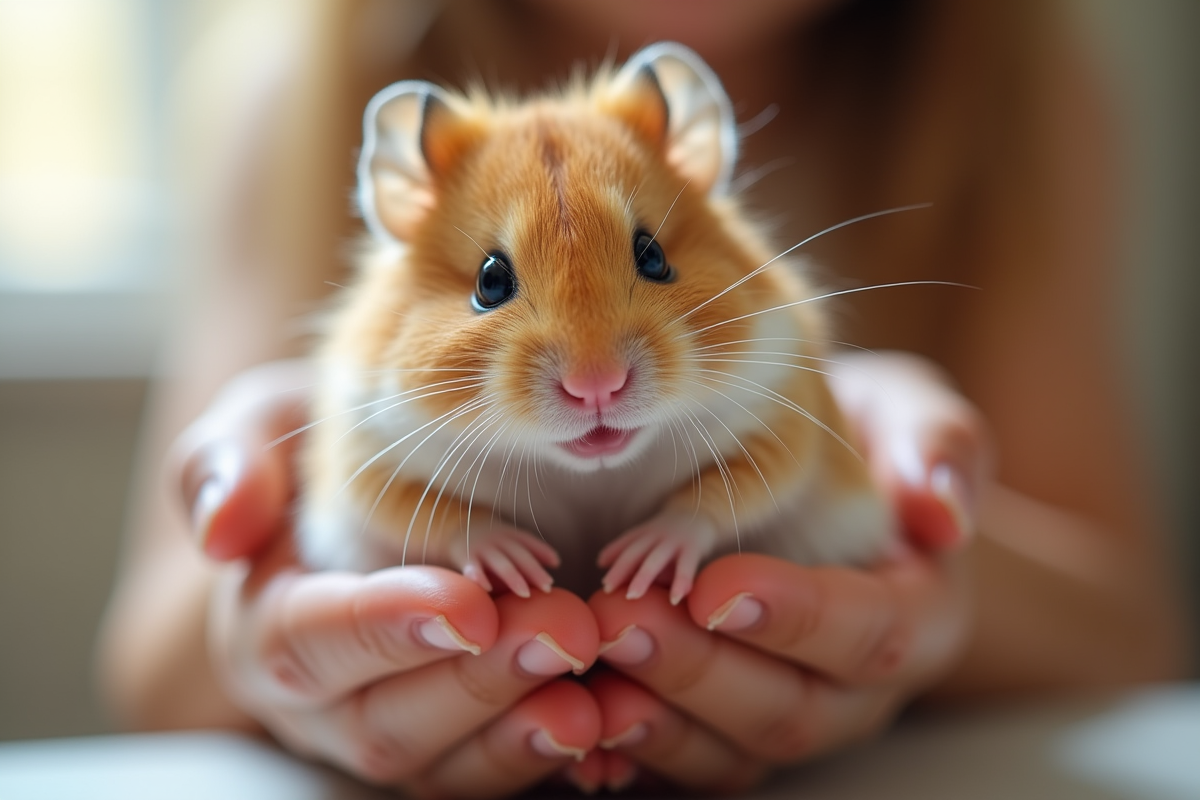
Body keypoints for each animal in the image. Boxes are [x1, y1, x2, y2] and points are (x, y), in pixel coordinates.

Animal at [297, 42, 896, 603]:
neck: (591, 474)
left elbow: (721, 497)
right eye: (489, 282)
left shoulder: (781, 413)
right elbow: (440, 519)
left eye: (653, 255)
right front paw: (518, 565)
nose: (597, 386)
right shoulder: (368, 457)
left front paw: (637, 563)